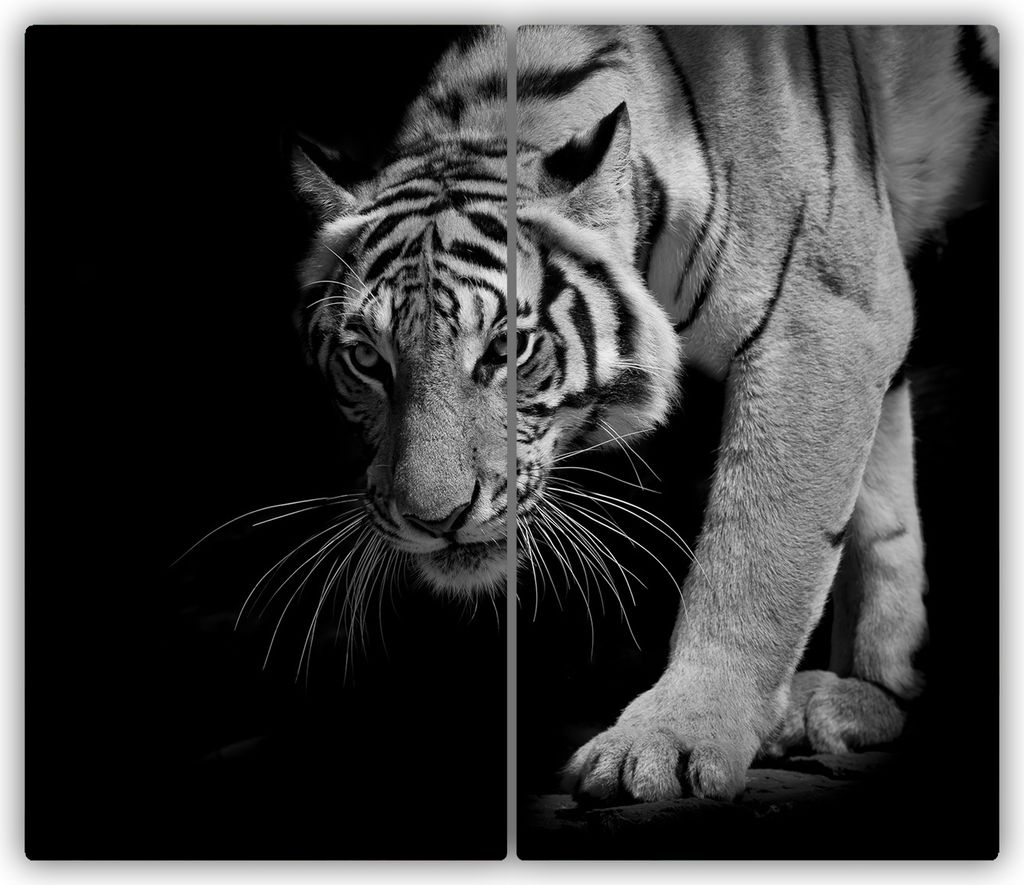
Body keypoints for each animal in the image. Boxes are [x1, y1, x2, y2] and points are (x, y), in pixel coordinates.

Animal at [289, 24, 998, 802]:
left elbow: (758, 555)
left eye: (506, 348)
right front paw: (868, 691)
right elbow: (878, 513)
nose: (434, 519)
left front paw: (674, 738)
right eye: (367, 358)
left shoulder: (824, 314)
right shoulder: (866, 313)